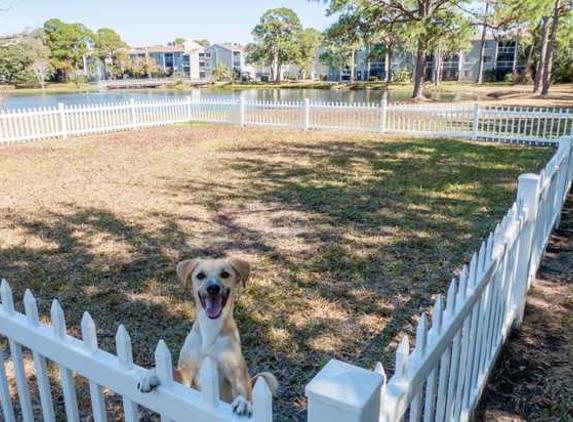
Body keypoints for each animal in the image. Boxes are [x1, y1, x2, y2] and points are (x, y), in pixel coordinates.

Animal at [139, 258, 278, 416]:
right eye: (200, 275)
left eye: (225, 274)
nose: (213, 288)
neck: (210, 327)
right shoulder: (186, 375)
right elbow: (171, 372)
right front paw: (151, 375)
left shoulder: (237, 377)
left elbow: (242, 393)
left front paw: (243, 403)